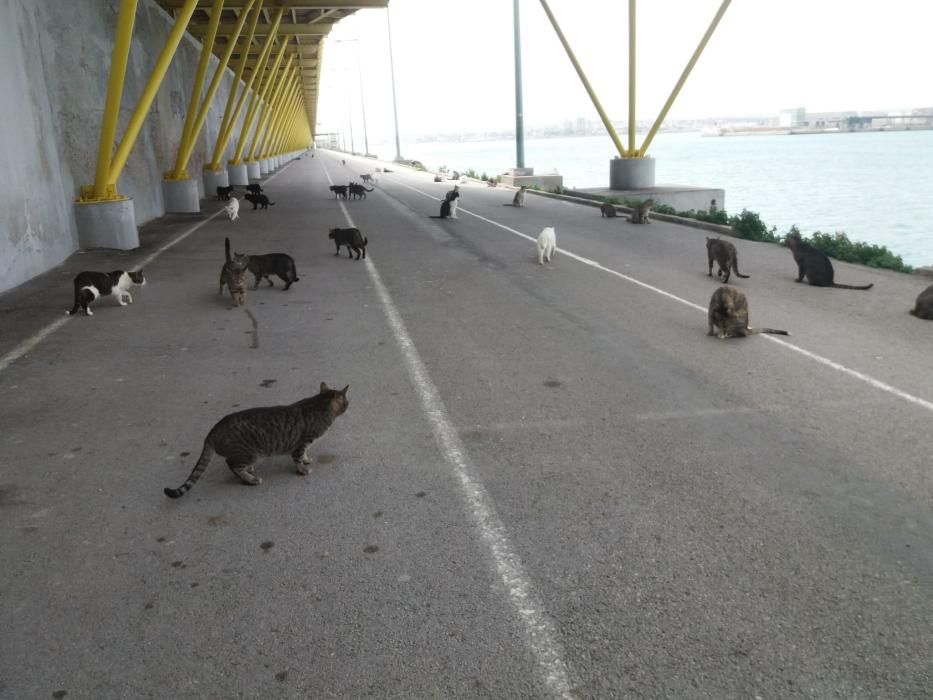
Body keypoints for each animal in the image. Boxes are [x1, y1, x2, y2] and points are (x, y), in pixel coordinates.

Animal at [162, 382, 348, 498]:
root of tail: (213, 430)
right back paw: (251, 479)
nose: (349, 405)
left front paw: (307, 459)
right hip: (250, 452)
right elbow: (298, 458)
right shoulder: (301, 443)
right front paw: (302, 468)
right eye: (347, 402)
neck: (319, 404)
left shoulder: (304, 444)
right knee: (232, 465)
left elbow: (305, 454)